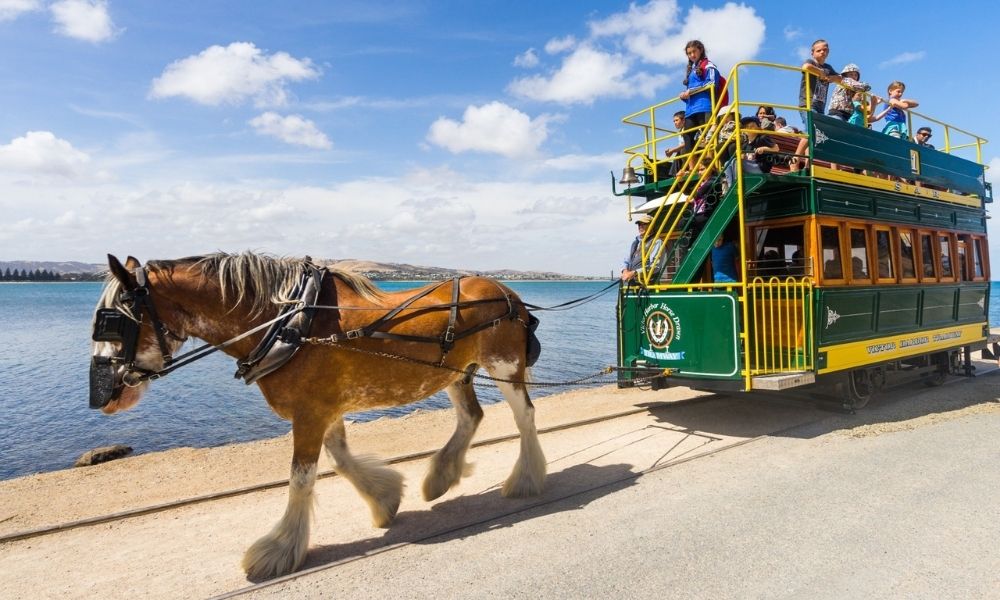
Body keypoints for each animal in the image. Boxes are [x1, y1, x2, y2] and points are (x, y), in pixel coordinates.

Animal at [92, 251, 548, 580]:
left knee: (525, 416)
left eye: (112, 323)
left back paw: (525, 479)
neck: (289, 323)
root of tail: (508, 294)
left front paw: (279, 550)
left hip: (504, 366)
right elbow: (340, 458)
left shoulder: (311, 412)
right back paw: (440, 476)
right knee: (471, 416)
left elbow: (301, 478)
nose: (103, 395)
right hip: (455, 372)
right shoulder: (322, 408)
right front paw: (384, 499)